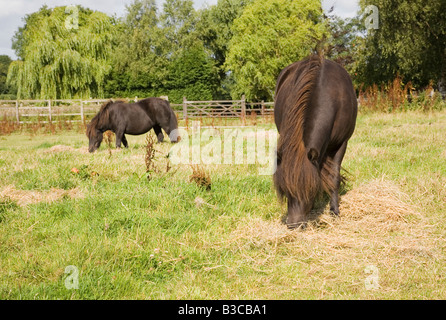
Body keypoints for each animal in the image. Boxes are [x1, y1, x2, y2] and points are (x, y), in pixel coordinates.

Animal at [274, 53, 358, 229]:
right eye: (284, 189)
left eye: (310, 189)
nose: (294, 224)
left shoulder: (342, 144)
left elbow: (334, 178)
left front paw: (334, 211)